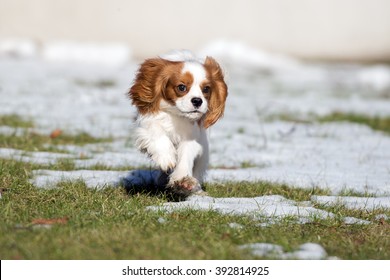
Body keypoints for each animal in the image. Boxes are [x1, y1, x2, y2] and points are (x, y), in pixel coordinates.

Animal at [129, 50, 225, 199]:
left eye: (206, 89)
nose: (197, 101)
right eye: (181, 87)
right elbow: (156, 132)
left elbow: (186, 156)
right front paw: (166, 157)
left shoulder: (192, 137)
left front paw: (183, 181)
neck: (177, 114)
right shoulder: (148, 122)